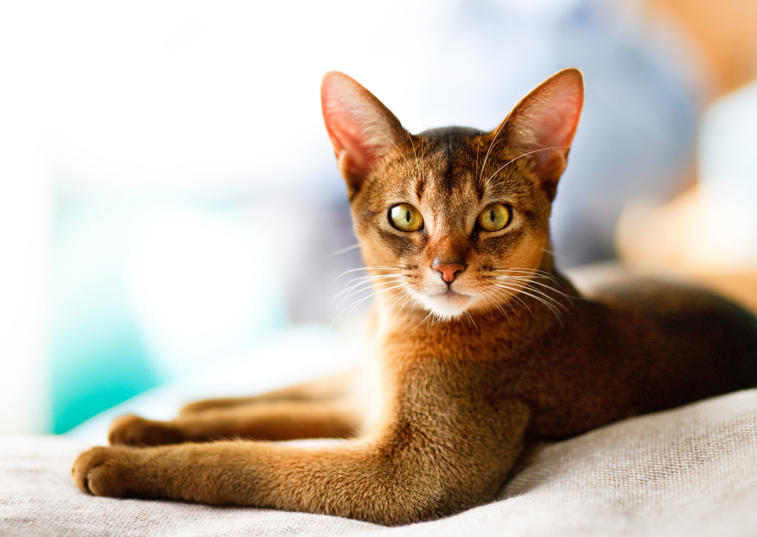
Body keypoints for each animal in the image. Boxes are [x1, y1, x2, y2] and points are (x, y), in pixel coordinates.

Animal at [71, 68, 756, 524]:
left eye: (495, 216)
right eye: (405, 216)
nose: (447, 269)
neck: (400, 329)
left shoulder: (414, 474)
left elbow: (255, 460)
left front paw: (119, 462)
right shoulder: (376, 412)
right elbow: (270, 422)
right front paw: (149, 429)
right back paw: (168, 412)